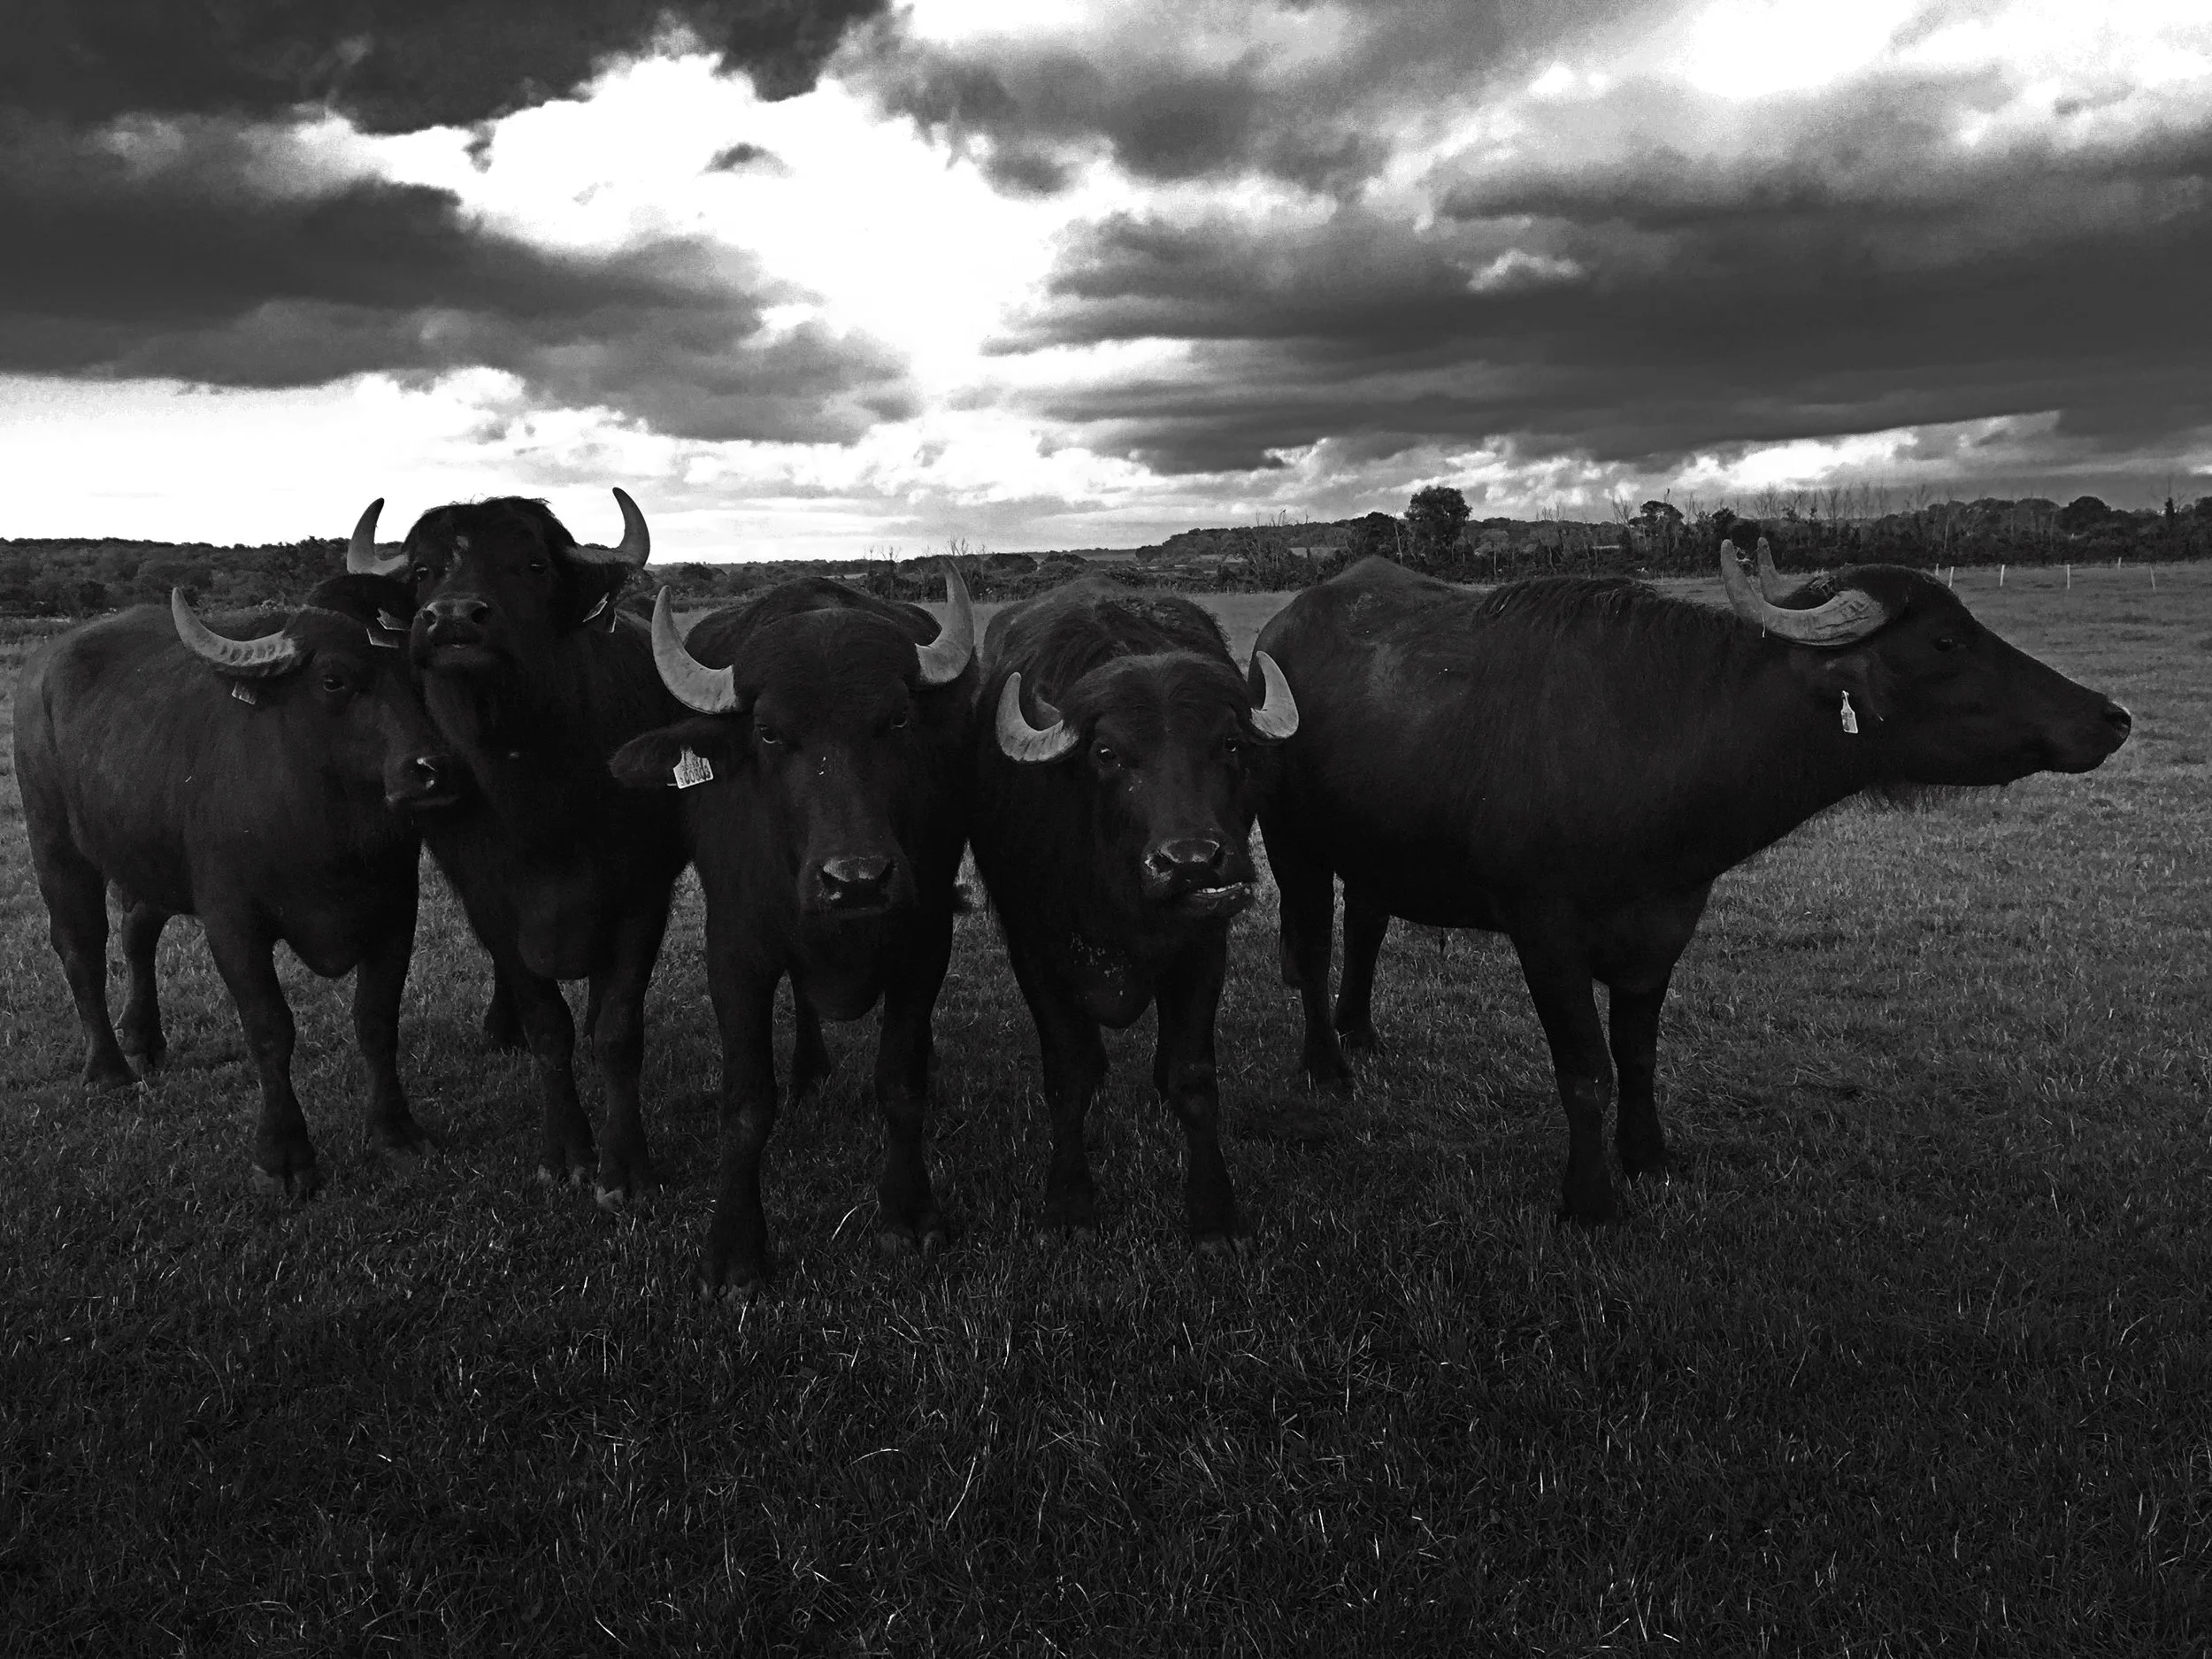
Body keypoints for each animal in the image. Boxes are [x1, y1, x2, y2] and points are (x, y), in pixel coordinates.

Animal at [14, 504, 456, 1194]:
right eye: (335, 679)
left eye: (421, 671)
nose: (433, 771)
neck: (331, 835)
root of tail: (41, 669)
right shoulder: (232, 921)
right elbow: (270, 1028)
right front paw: (284, 1155)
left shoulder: (396, 910)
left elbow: (378, 1018)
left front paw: (396, 1132)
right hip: (55, 844)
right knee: (80, 948)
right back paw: (109, 1068)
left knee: (137, 929)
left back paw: (144, 1037)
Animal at [402, 491, 689, 1203]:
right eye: (422, 571)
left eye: (532, 564)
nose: (452, 619)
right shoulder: (491, 904)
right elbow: (546, 1029)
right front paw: (568, 1154)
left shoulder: (643, 896)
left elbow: (617, 1030)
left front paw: (624, 1167)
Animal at [610, 571, 977, 1292]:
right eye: (770, 732)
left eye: (896, 719)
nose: (856, 880)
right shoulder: (734, 955)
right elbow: (747, 1103)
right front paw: (735, 1250)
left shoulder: (926, 946)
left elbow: (901, 1083)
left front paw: (910, 1213)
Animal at [971, 580, 1299, 1247]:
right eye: (1107, 753)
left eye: (1229, 744)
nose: (1191, 861)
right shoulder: (1034, 950)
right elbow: (1069, 1075)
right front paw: (1069, 1203)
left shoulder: (1206, 943)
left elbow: (1192, 1075)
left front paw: (1214, 1213)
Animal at [1257, 544, 2133, 1222]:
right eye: (1948, 640)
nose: (2112, 717)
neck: (1658, 738)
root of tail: (1277, 632)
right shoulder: (1545, 935)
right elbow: (1586, 1070)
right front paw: (1590, 1199)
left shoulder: (1664, 928)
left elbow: (1639, 1056)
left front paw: (1648, 1158)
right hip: (1291, 842)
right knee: (1312, 944)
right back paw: (1327, 1064)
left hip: (1375, 845)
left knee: (1366, 921)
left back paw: (1362, 1030)